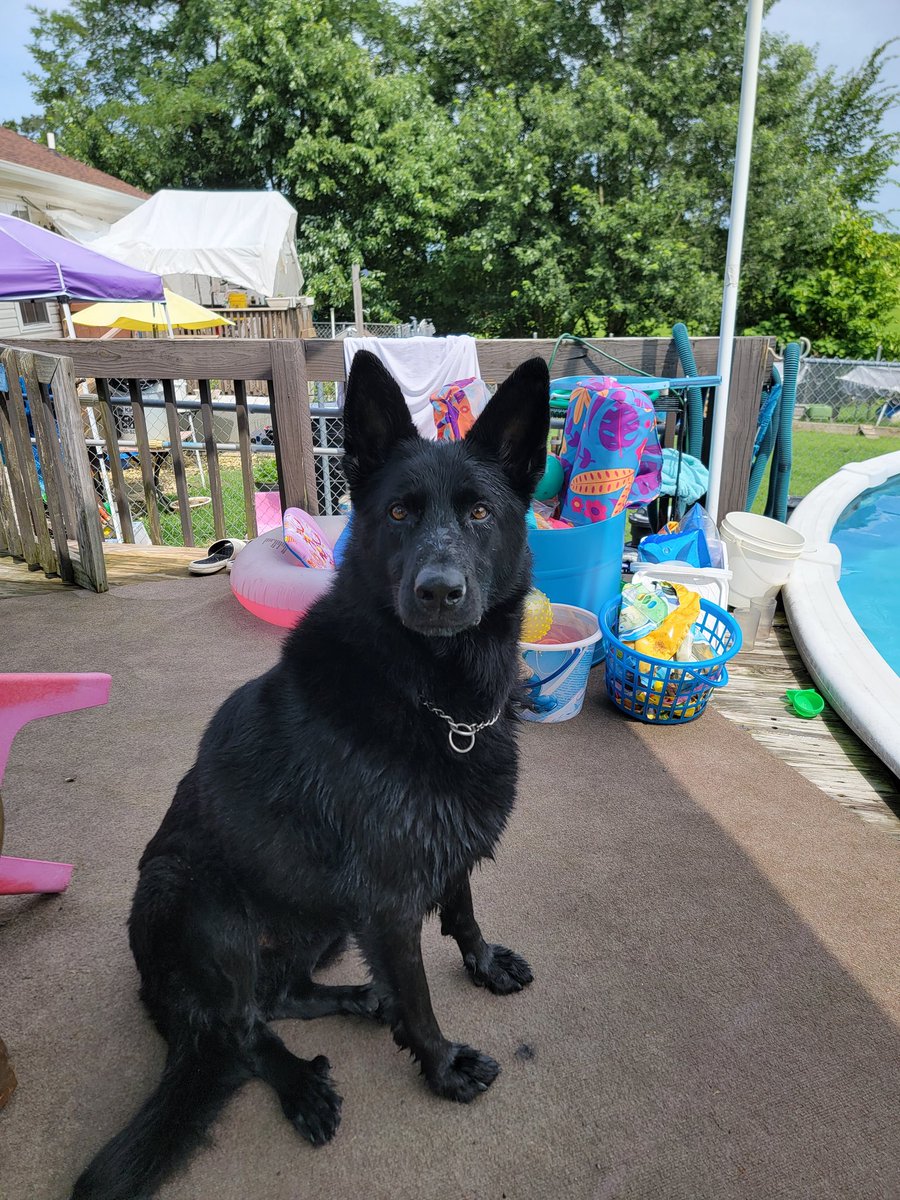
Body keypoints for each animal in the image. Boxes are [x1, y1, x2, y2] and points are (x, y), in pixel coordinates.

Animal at [72, 350, 549, 1195]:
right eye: (399, 513)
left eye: (480, 513)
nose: (438, 592)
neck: (432, 695)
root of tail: (164, 1003)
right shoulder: (389, 903)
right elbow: (420, 996)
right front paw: (442, 1064)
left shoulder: (444, 849)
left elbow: (462, 912)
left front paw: (484, 964)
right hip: (197, 899)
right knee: (241, 1031)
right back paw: (301, 1085)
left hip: (321, 922)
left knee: (283, 997)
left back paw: (358, 998)